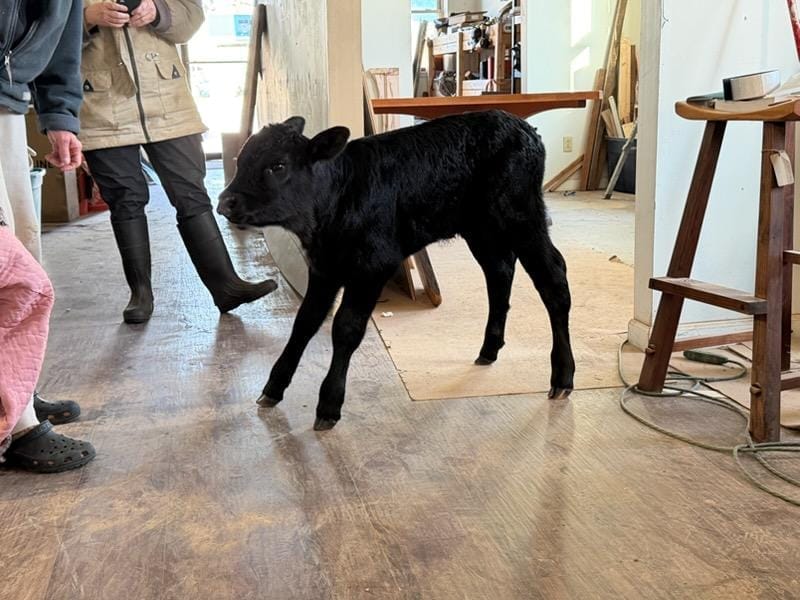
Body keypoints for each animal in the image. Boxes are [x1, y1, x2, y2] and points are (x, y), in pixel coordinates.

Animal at [218, 110, 575, 430]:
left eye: (277, 166)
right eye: (241, 159)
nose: (224, 203)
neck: (339, 198)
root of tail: (523, 127)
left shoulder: (373, 266)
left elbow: (346, 328)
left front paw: (329, 403)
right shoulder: (324, 270)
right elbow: (304, 323)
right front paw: (273, 387)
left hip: (522, 216)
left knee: (553, 278)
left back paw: (562, 376)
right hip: (481, 228)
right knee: (499, 271)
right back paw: (489, 348)